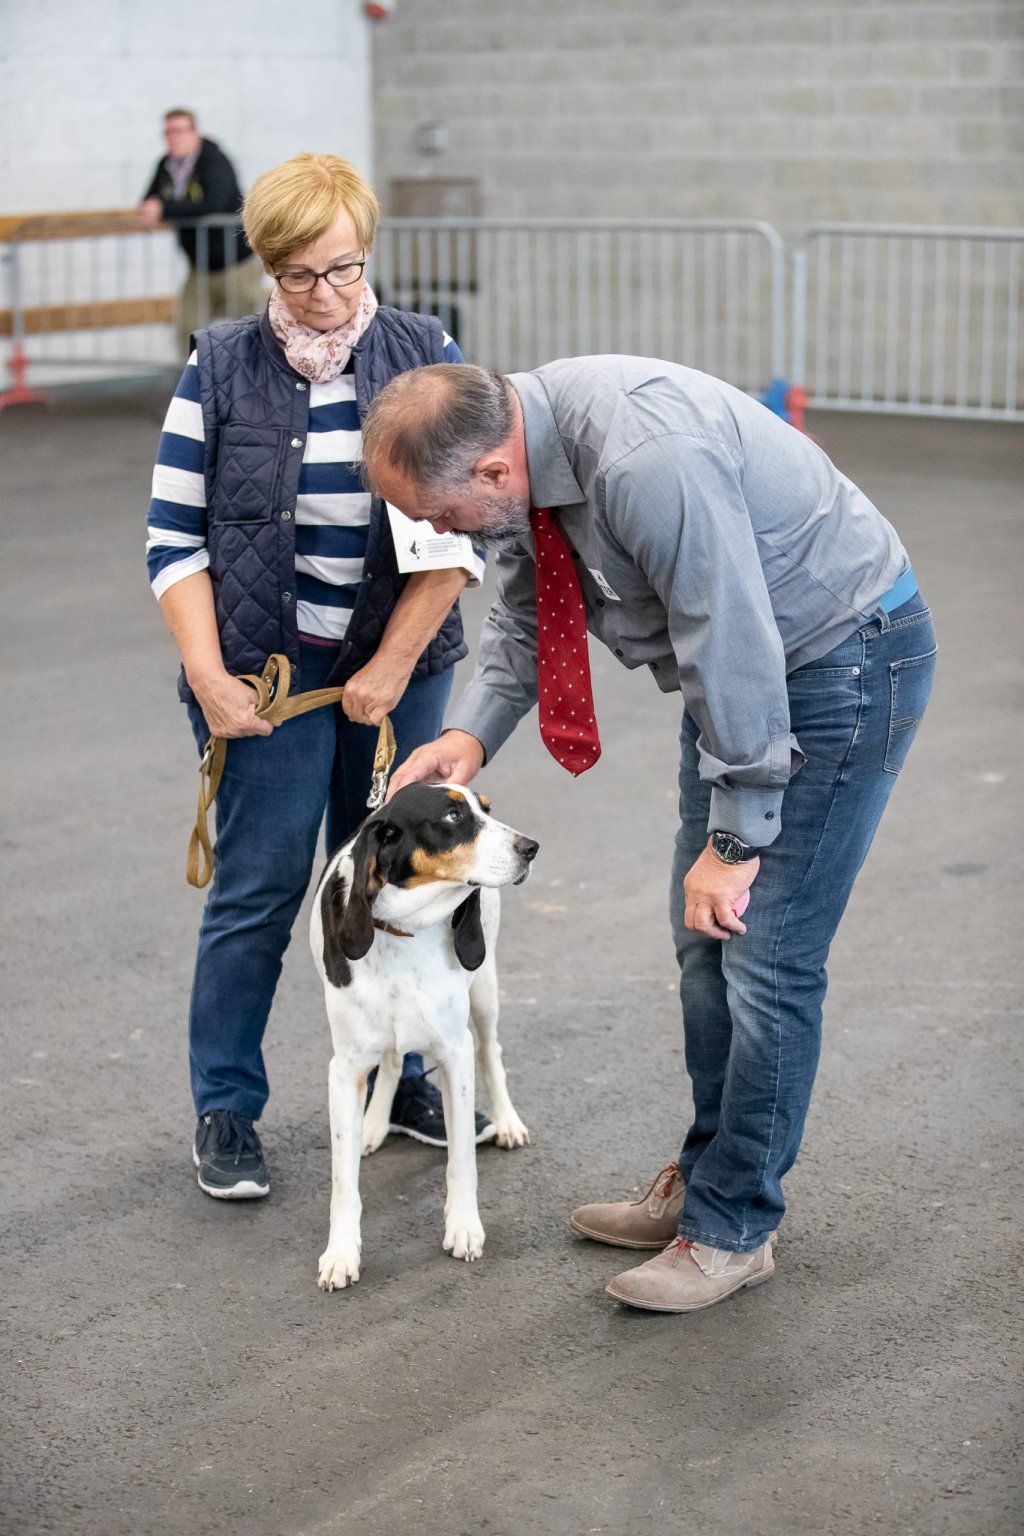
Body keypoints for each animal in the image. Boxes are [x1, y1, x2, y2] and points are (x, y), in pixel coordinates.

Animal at [310, 786, 537, 1290]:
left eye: (486, 810)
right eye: (452, 816)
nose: (530, 848)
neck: (404, 932)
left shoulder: (454, 1055)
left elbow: (462, 1159)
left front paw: (464, 1226)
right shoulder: (344, 1070)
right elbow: (342, 1182)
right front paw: (341, 1252)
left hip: (484, 988)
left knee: (489, 1050)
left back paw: (507, 1121)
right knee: (395, 1060)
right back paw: (374, 1125)